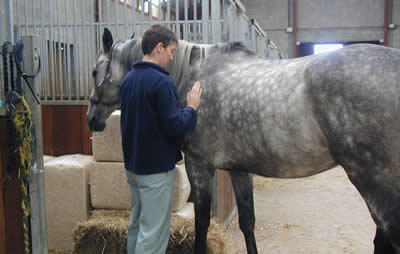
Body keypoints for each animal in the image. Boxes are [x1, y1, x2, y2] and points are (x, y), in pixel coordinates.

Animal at [86, 28, 400, 254]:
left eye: (94, 71)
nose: (91, 119)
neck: (193, 75)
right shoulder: (239, 170)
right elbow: (247, 222)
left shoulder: (199, 166)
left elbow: (202, 223)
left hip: (375, 181)